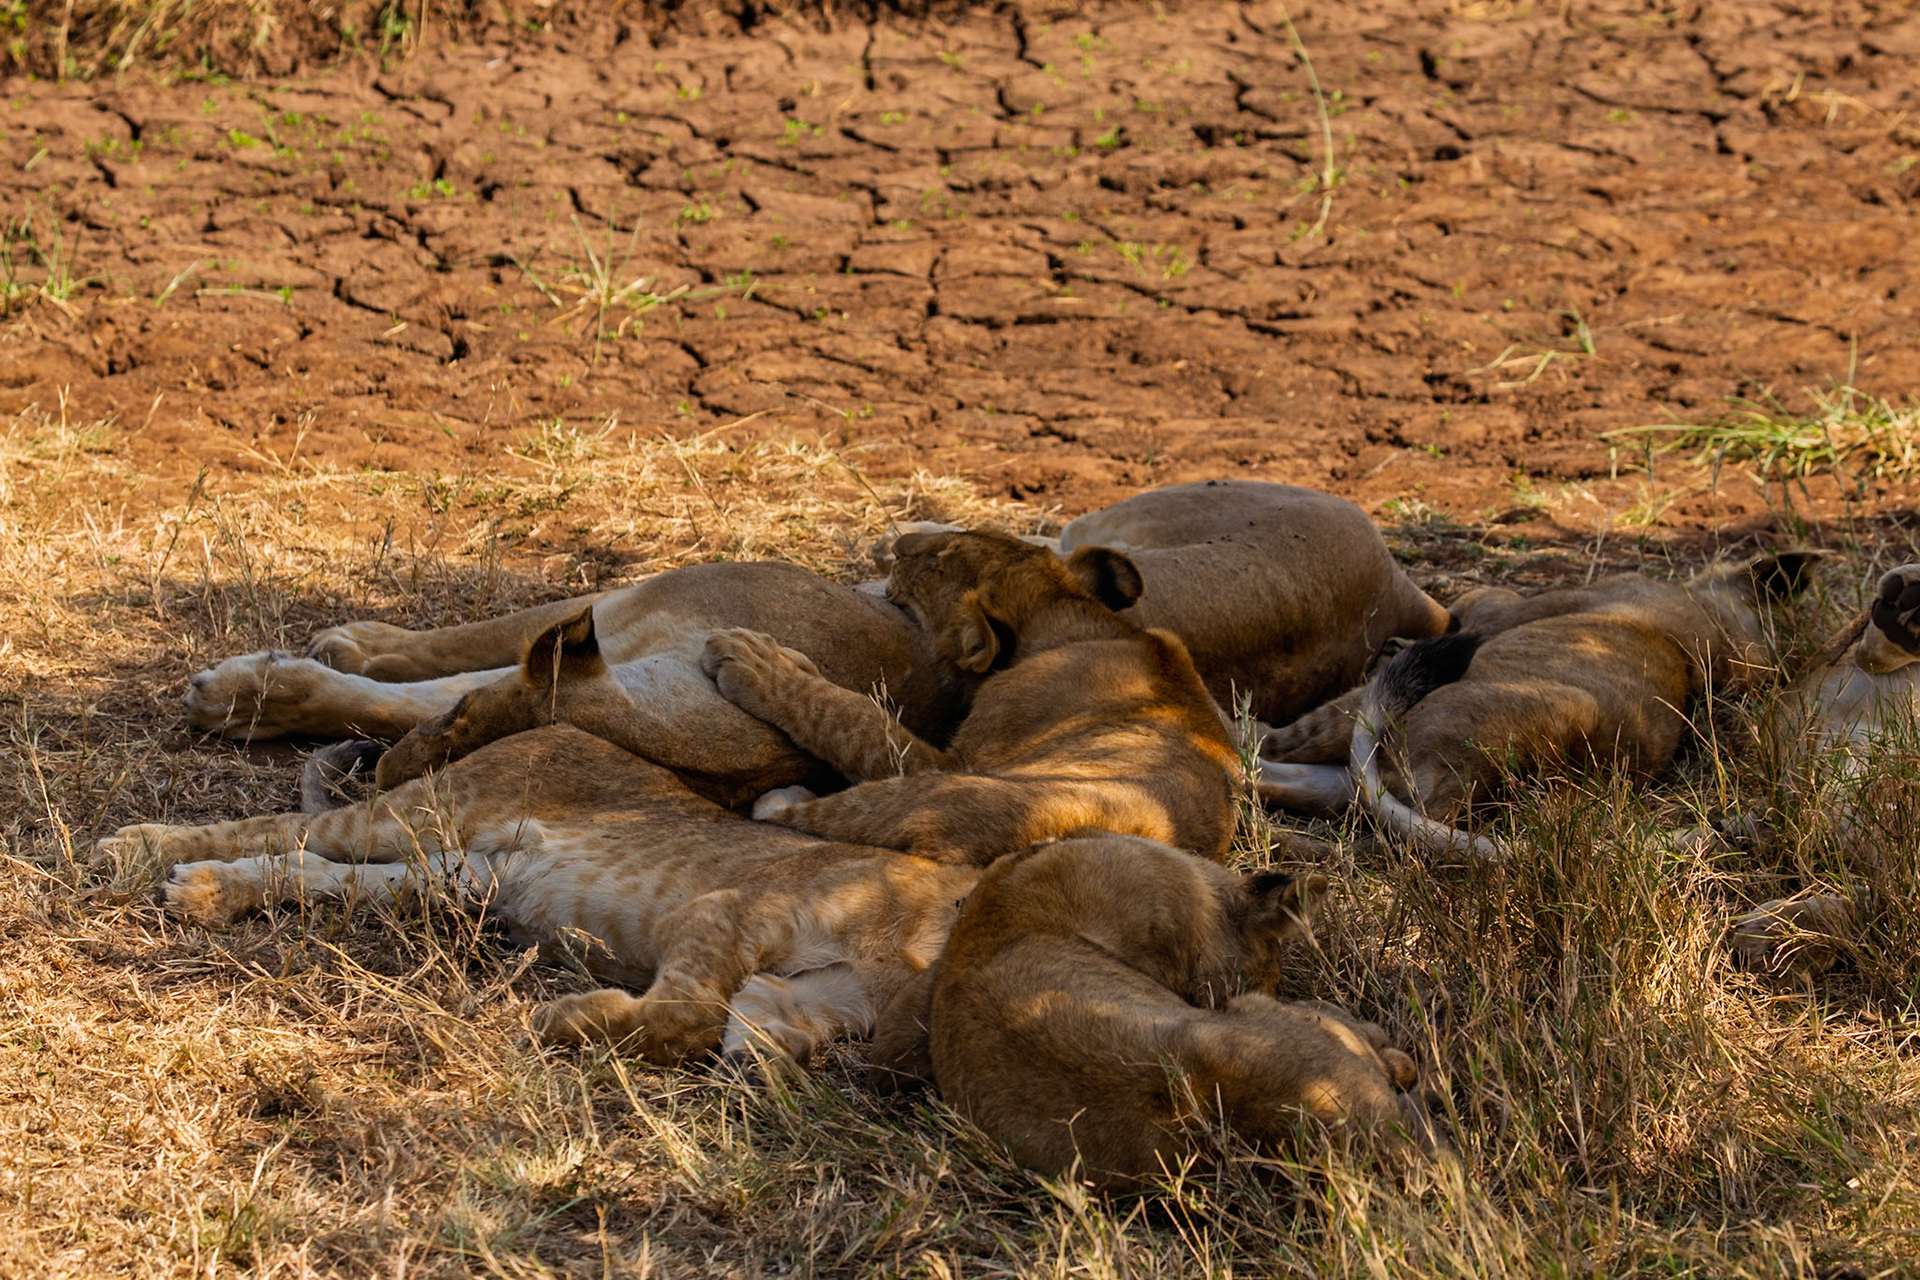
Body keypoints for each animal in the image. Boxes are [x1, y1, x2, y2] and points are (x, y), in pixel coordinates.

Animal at [95, 722, 979, 1066]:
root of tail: (560, 725)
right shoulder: (730, 908)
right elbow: (691, 1012)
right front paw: (566, 1021)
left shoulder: (789, 1004)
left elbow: (731, 1033)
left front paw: (591, 1025)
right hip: (427, 812)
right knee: (285, 824)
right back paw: (141, 851)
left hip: (458, 877)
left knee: (321, 873)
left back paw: (207, 893)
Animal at [699, 529, 1241, 865]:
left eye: (935, 564)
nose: (898, 544)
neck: (1070, 616)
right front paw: (792, 659)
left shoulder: (947, 761)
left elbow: (855, 719)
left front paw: (757, 662)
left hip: (930, 796)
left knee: (793, 814)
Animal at [1258, 553, 1819, 859]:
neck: (1715, 635)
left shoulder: (1506, 611)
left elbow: (1476, 597)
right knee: (1291, 781)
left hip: (1406, 707)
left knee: (1284, 744)